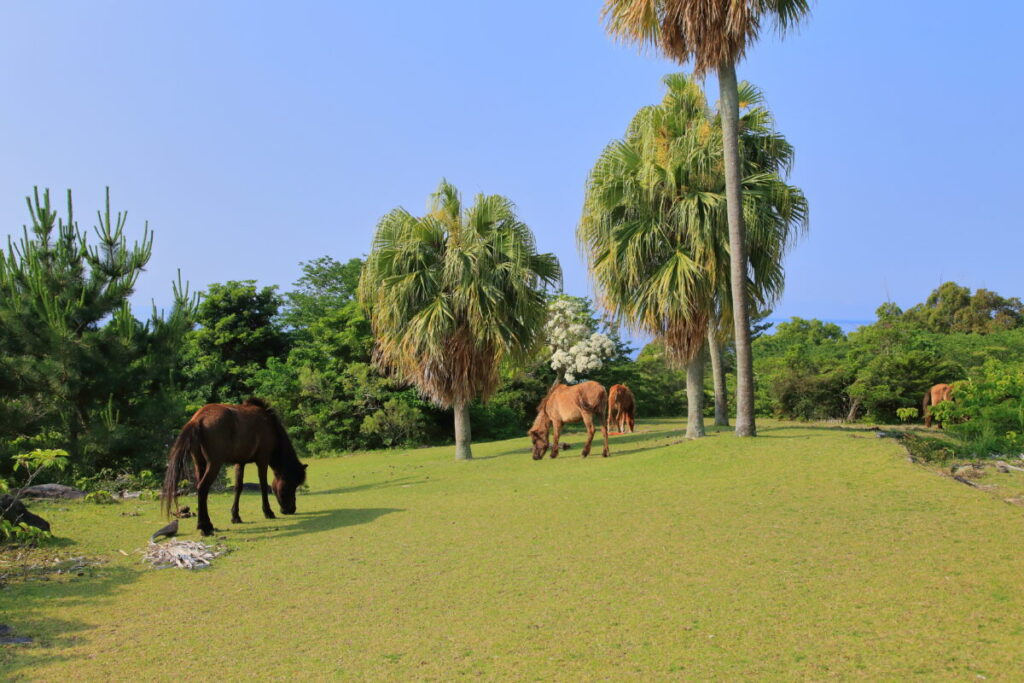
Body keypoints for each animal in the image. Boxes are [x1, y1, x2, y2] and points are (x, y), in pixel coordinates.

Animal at [161, 398, 307, 536]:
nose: (291, 509)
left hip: (199, 463)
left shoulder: (240, 463)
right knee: (202, 488)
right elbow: (263, 485)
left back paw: (206, 524)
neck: (269, 424)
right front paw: (268, 512)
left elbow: (238, 487)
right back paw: (205, 527)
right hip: (214, 464)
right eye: (291, 485)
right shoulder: (262, 460)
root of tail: (198, 419)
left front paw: (235, 516)